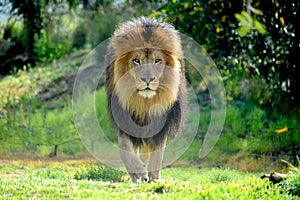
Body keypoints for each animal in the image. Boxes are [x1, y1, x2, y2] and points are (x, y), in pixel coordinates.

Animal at [104, 17, 186, 183]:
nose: (147, 80)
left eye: (157, 60)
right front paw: (138, 173)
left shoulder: (162, 121)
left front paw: (154, 178)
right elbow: (125, 148)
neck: (144, 102)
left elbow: (157, 154)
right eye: (136, 60)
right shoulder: (123, 117)